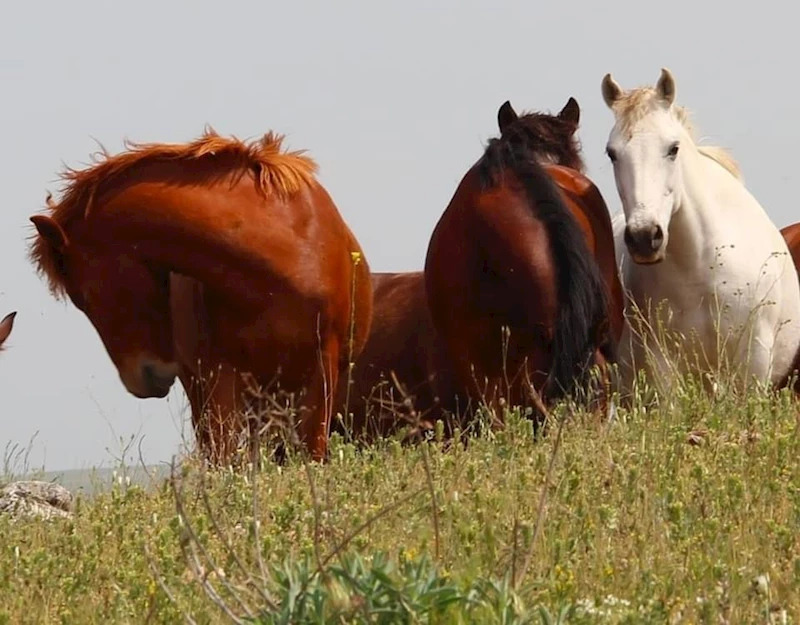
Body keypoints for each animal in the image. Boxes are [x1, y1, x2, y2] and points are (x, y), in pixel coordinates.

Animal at [604, 68, 796, 398]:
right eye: (612, 153)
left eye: (673, 148)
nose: (644, 237)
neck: (700, 269)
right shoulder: (661, 369)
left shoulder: (752, 367)